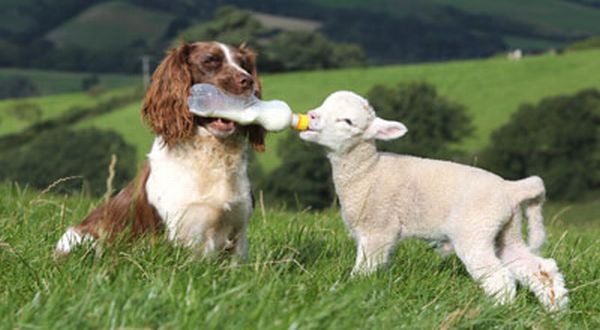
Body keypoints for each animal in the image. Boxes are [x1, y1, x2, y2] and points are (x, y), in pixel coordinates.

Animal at [55, 40, 264, 258]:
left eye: (244, 64)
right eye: (209, 60)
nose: (248, 82)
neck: (211, 153)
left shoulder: (238, 231)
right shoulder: (177, 232)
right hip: (81, 238)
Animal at [300, 90, 572, 312]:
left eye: (347, 121)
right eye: (324, 104)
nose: (311, 116)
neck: (367, 172)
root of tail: (511, 189)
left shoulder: (378, 229)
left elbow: (366, 268)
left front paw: (351, 291)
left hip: (475, 230)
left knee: (500, 277)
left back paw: (496, 311)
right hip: (507, 231)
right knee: (541, 268)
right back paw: (556, 310)